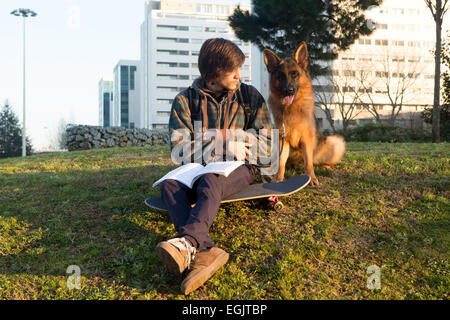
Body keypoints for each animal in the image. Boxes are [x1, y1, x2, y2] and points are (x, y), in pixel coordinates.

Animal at [262, 41, 346, 186]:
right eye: (281, 77)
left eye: (295, 74)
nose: (288, 90)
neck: (291, 108)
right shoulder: (282, 141)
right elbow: (281, 163)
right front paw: (278, 179)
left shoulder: (306, 140)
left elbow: (308, 163)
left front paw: (311, 179)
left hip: (335, 142)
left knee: (318, 162)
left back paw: (325, 167)